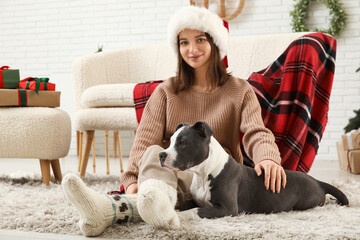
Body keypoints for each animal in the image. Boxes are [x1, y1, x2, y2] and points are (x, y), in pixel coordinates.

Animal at [160, 121, 348, 218]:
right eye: (170, 141)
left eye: (183, 142)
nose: (161, 155)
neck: (203, 173)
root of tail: (317, 181)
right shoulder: (197, 199)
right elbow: (183, 204)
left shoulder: (227, 209)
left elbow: (194, 211)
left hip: (307, 203)